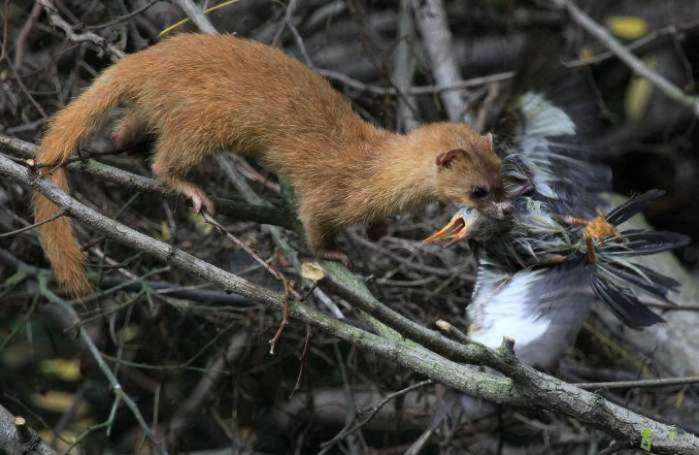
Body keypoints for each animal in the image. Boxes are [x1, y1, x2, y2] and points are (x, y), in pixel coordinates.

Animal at [32, 32, 508, 296]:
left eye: (503, 177)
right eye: (478, 190)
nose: (506, 209)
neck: (377, 167)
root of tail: (148, 58)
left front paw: (378, 230)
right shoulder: (330, 191)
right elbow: (313, 220)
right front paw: (334, 251)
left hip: (153, 110)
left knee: (128, 127)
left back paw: (119, 145)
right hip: (200, 119)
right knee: (165, 161)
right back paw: (192, 189)